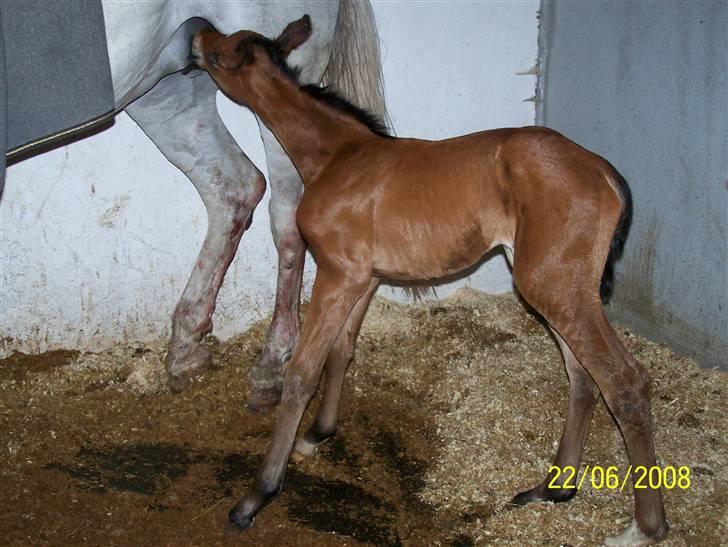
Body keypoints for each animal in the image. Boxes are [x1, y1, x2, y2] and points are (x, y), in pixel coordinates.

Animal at [192, 16, 664, 544]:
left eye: (223, 51)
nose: (195, 32)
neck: (339, 155)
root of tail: (604, 172)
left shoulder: (338, 273)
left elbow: (301, 372)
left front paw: (256, 495)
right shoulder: (363, 278)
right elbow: (341, 352)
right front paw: (318, 434)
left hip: (555, 285)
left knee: (624, 381)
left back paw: (643, 527)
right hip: (557, 288)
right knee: (583, 377)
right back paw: (552, 488)